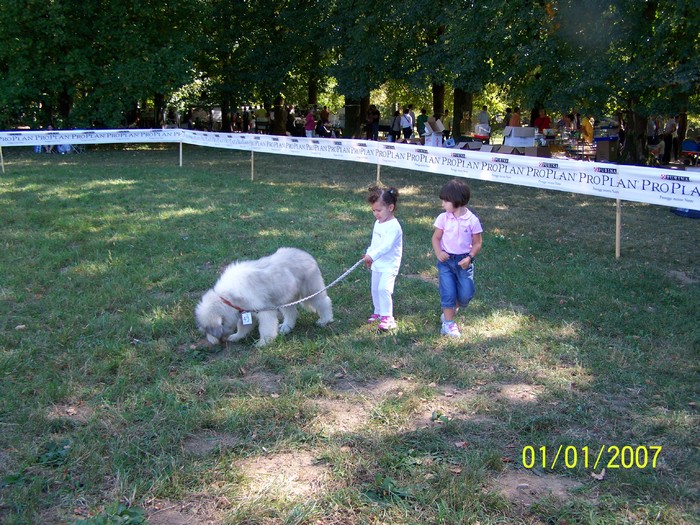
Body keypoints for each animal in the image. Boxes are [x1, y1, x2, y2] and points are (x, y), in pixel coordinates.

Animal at [193, 248, 332, 346]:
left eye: (207, 331)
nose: (212, 342)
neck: (226, 298)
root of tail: (306, 255)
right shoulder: (245, 312)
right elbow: (243, 327)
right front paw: (237, 336)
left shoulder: (263, 310)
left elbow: (265, 328)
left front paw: (263, 343)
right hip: (285, 298)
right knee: (291, 313)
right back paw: (286, 328)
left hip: (311, 290)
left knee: (324, 302)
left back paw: (325, 320)